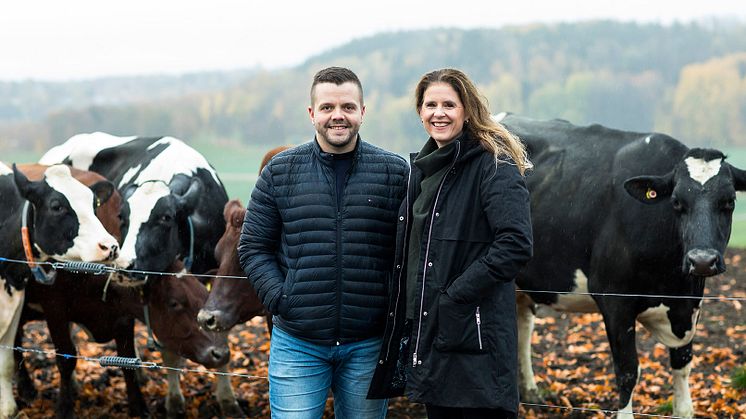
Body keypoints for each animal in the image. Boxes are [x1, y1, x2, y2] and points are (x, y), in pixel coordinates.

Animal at [0, 162, 117, 418]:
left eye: (94, 204)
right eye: (56, 206)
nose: (110, 246)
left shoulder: (15, 302)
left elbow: (6, 358)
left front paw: (7, 408)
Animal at [494, 111, 744, 419]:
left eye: (729, 201)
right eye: (676, 202)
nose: (702, 260)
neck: (671, 283)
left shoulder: (688, 304)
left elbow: (683, 364)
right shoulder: (614, 300)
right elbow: (627, 371)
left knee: (522, 325)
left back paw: (530, 392)